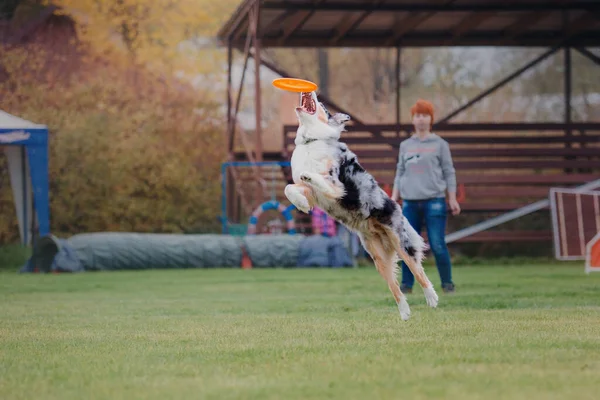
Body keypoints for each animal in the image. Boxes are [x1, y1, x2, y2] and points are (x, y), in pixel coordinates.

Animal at [284, 90, 438, 318]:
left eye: (322, 106)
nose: (310, 91)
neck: (311, 141)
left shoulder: (336, 185)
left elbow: (319, 179)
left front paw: (309, 178)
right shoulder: (312, 193)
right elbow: (290, 188)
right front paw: (301, 203)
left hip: (400, 241)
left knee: (417, 269)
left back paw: (431, 297)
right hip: (378, 258)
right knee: (395, 286)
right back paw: (404, 314)